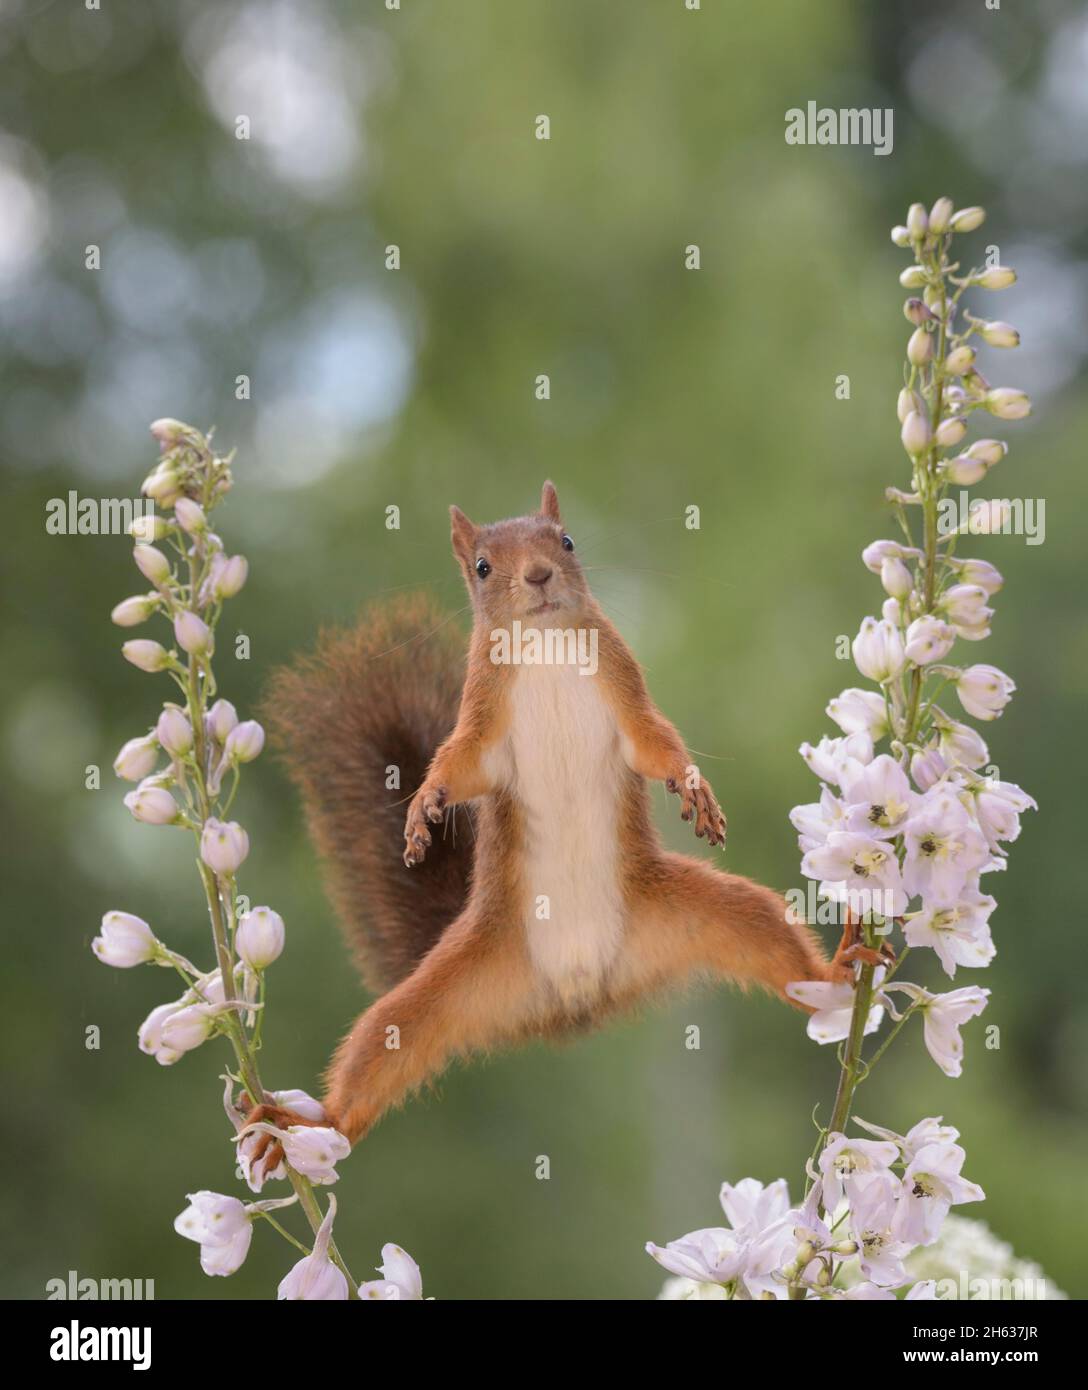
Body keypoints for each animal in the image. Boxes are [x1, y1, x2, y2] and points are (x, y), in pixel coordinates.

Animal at [251, 483, 855, 1167]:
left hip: (708, 914)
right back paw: (311, 1125)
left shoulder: (624, 688)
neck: (543, 643)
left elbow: (655, 743)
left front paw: (696, 787)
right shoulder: (482, 719)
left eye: (565, 542)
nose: (538, 576)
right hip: (444, 987)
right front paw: (422, 804)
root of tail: (575, 1000)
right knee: (378, 1052)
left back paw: (837, 973)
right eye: (483, 567)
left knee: (778, 949)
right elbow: (459, 766)